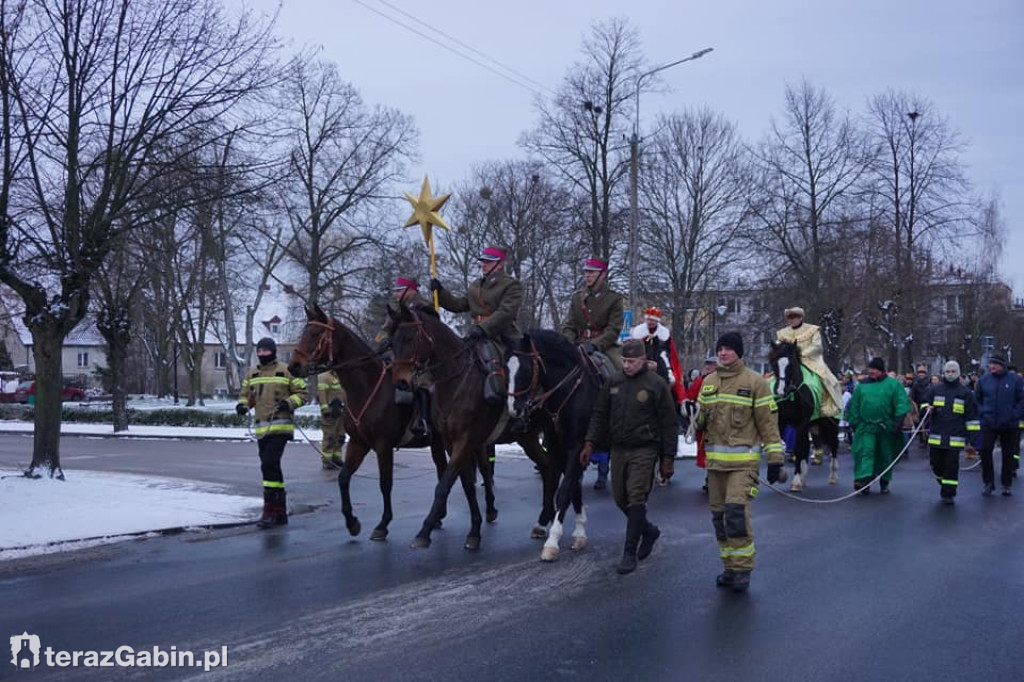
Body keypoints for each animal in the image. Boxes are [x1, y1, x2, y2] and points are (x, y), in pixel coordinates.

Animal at [286, 305, 450, 540]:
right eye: (304, 333)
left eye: (316, 334)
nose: (293, 366)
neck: (367, 388)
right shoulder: (358, 443)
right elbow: (343, 478)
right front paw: (351, 521)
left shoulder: (383, 446)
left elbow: (385, 483)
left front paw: (383, 524)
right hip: (437, 443)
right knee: (442, 470)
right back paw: (437, 517)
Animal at [385, 301, 561, 548]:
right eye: (392, 341)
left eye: (410, 338)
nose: (401, 382)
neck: (455, 381)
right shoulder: (451, 443)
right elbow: (467, 484)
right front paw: (475, 530)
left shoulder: (466, 441)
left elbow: (444, 484)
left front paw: (424, 531)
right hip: (526, 436)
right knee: (547, 466)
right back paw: (544, 517)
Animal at [507, 329, 602, 557]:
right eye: (506, 368)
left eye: (525, 369)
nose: (513, 409)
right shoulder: (556, 448)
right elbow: (566, 488)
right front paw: (579, 533)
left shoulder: (577, 448)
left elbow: (564, 491)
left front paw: (552, 540)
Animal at [770, 339, 839, 489]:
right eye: (774, 363)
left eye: (791, 364)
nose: (780, 391)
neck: (792, 395)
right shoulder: (781, 422)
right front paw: (780, 473)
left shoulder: (802, 423)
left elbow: (798, 448)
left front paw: (795, 481)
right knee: (806, 446)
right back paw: (804, 477)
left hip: (832, 425)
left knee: (834, 446)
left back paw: (833, 477)